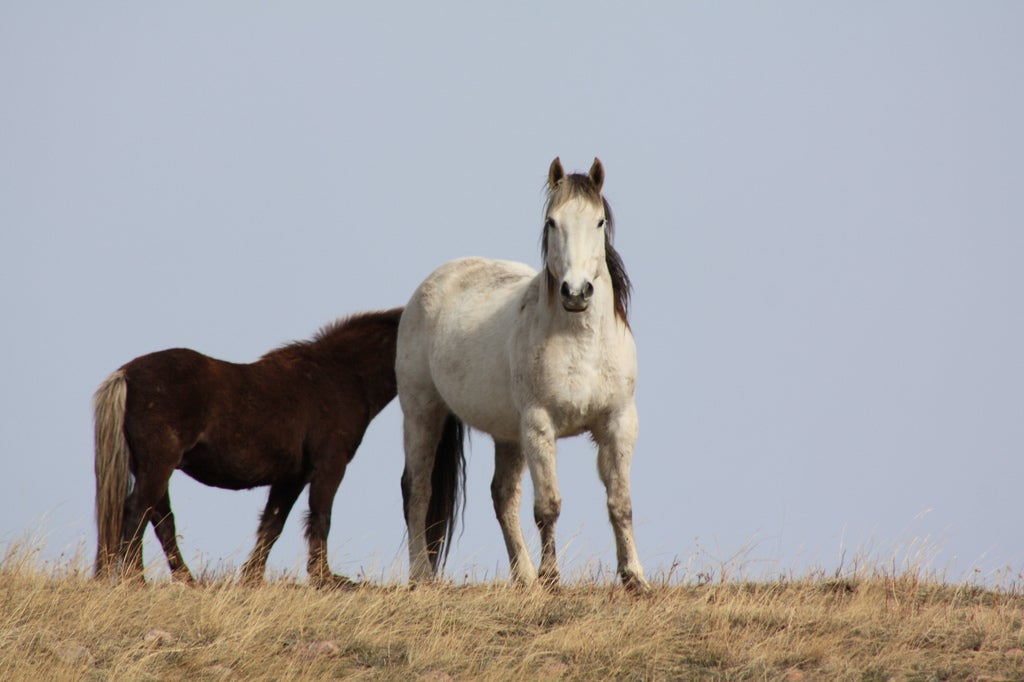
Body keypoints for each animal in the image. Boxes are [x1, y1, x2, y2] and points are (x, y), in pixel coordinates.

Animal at [92, 307, 403, 587]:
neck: (341, 376)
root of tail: (125, 375)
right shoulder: (330, 465)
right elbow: (320, 517)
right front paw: (325, 578)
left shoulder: (292, 477)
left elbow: (272, 524)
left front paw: (252, 577)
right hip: (158, 466)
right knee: (137, 512)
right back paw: (136, 580)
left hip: (153, 469)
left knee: (161, 519)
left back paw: (187, 580)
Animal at [396, 157, 648, 591]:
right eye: (552, 222)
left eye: (599, 221)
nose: (576, 292)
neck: (581, 343)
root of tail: (435, 282)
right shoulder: (539, 425)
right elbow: (548, 505)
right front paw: (551, 577)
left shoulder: (618, 423)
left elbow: (620, 503)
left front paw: (634, 577)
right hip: (422, 414)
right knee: (418, 489)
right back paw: (422, 577)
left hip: (507, 435)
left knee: (503, 496)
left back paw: (524, 576)